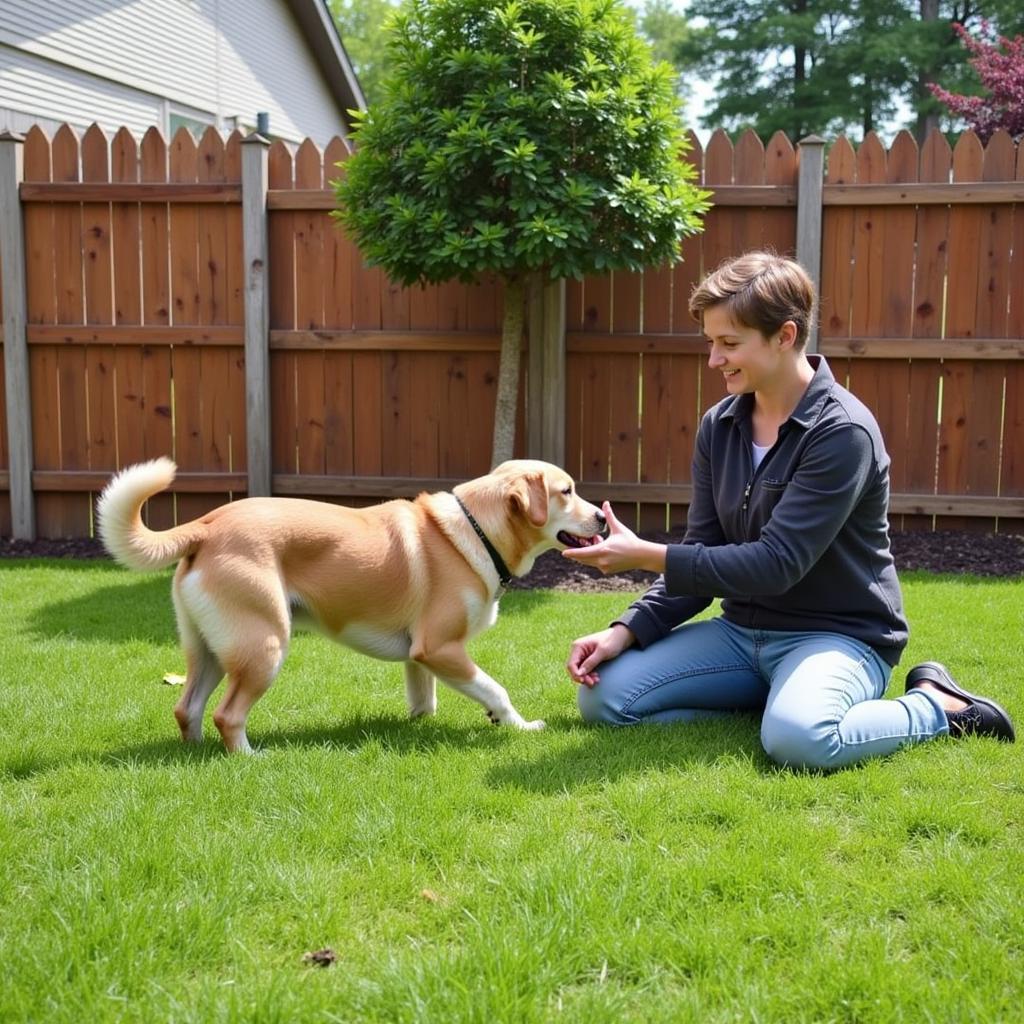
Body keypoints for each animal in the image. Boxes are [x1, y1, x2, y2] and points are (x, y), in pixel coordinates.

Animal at [94, 456, 606, 753]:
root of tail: (206, 525)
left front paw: (417, 727)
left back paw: (196, 754)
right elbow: (494, 688)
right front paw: (517, 724)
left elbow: (425, 702)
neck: (476, 529)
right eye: (566, 491)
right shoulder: (441, 647)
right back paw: (248, 757)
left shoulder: (420, 656)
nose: (603, 516)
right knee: (228, 714)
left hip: (210, 650)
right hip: (264, 647)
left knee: (188, 709)